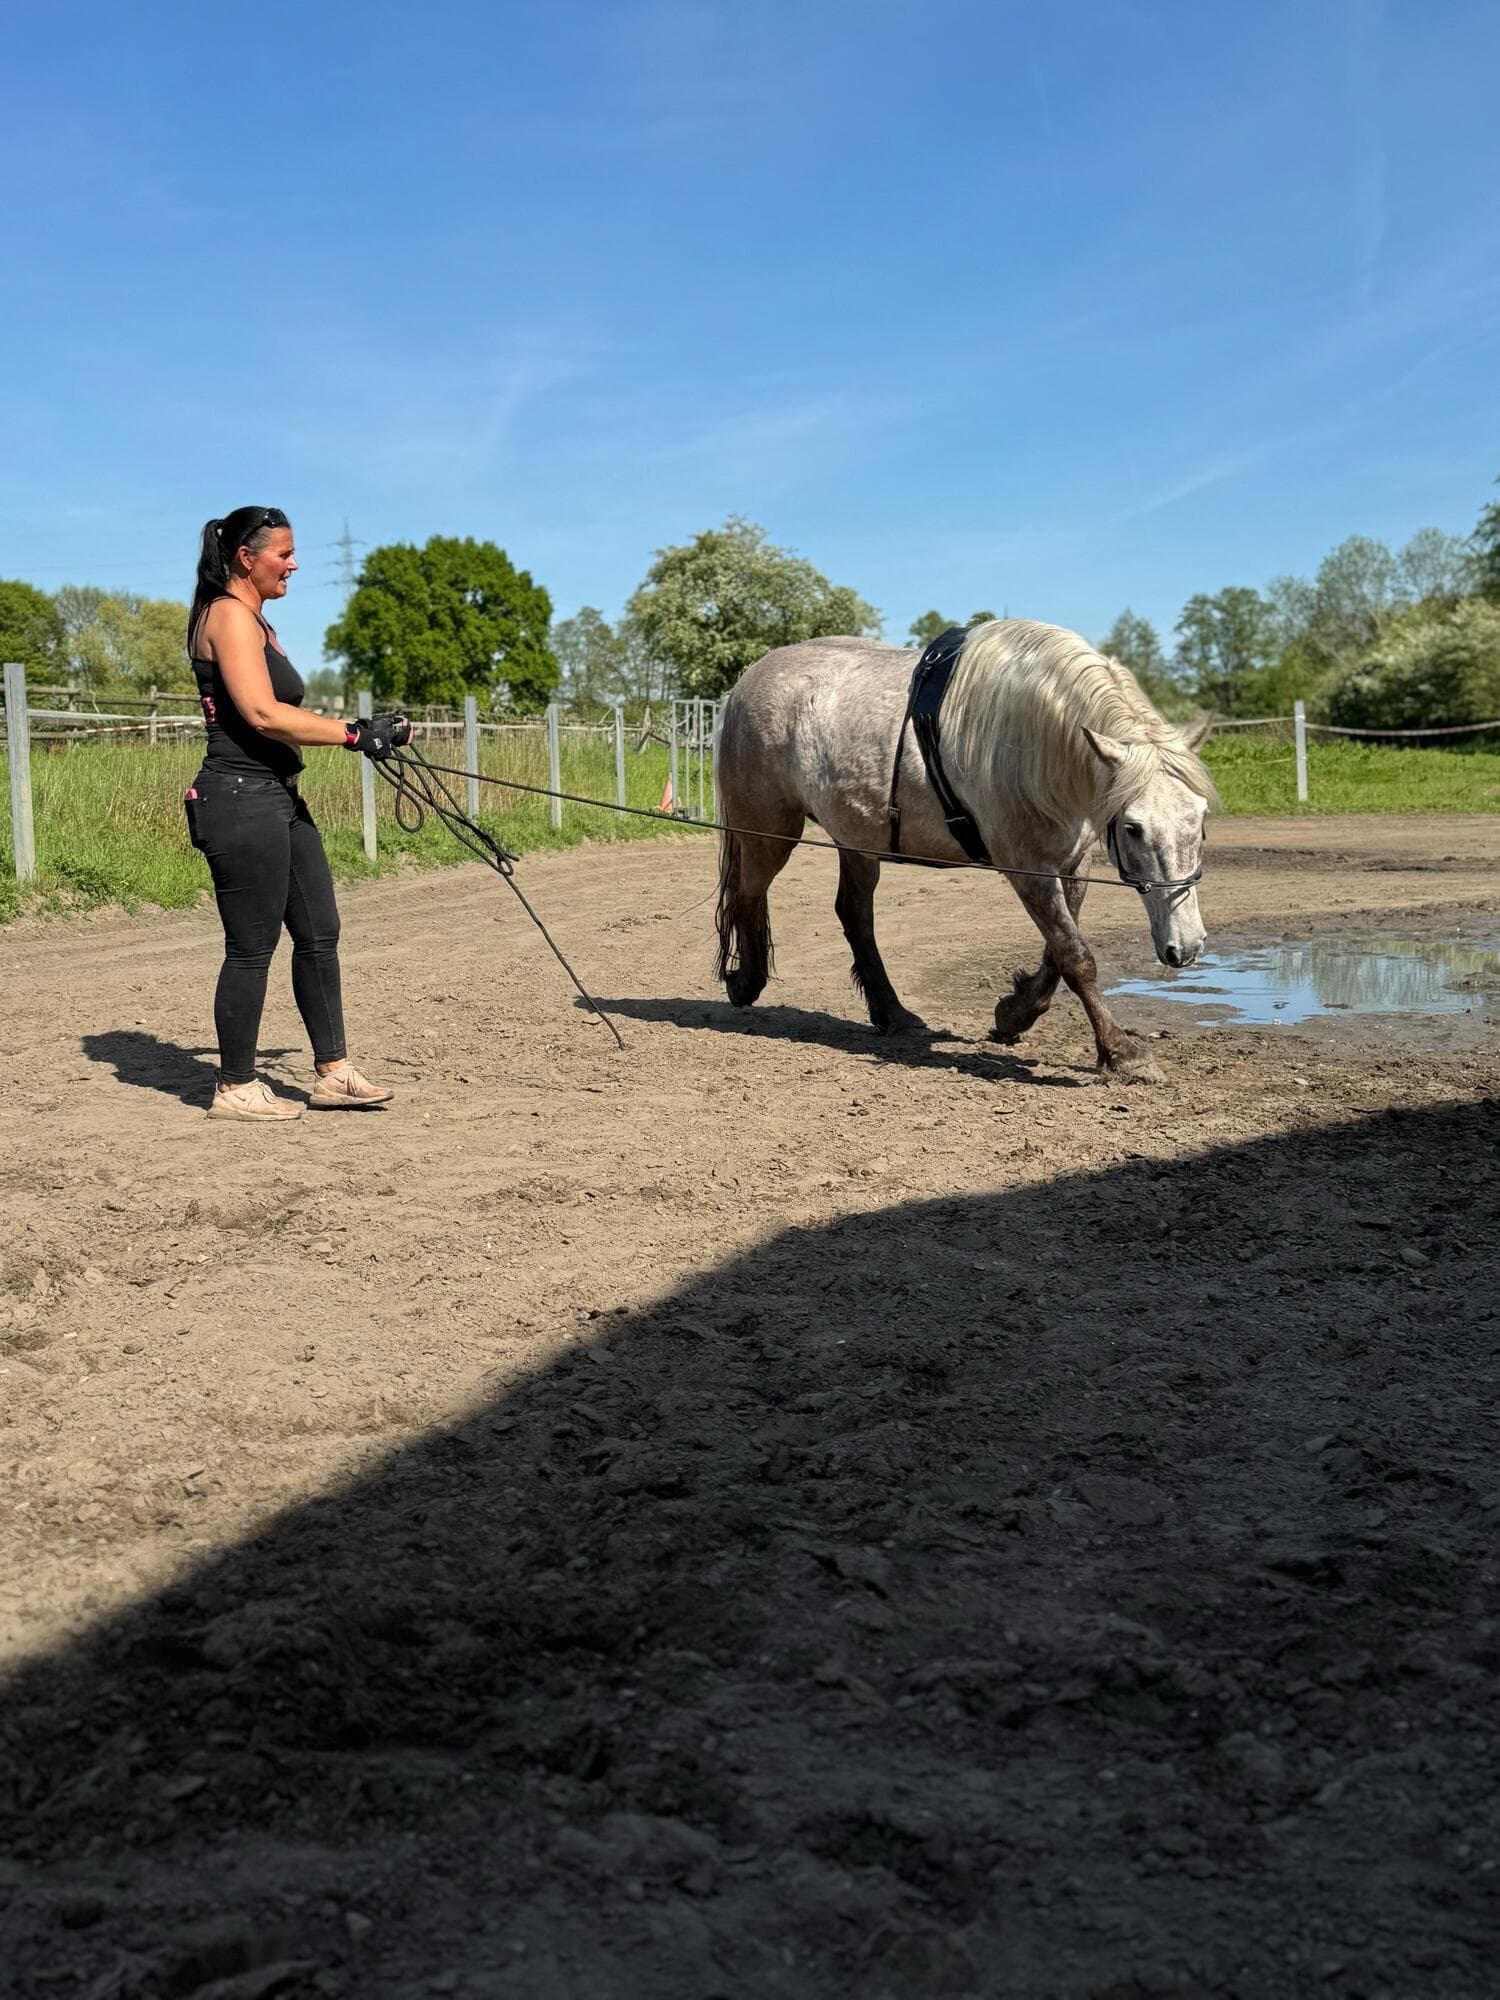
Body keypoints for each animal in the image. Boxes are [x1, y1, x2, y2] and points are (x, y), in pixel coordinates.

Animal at [713, 618, 1214, 1078]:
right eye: (1133, 827)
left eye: (1201, 818)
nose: (1186, 947)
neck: (1034, 740)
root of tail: (745, 682)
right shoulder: (1027, 867)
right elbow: (1076, 957)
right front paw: (1120, 1051)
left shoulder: (1071, 864)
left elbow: (1057, 952)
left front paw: (1014, 1014)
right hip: (767, 830)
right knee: (748, 896)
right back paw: (745, 982)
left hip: (854, 837)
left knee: (853, 914)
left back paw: (893, 1013)